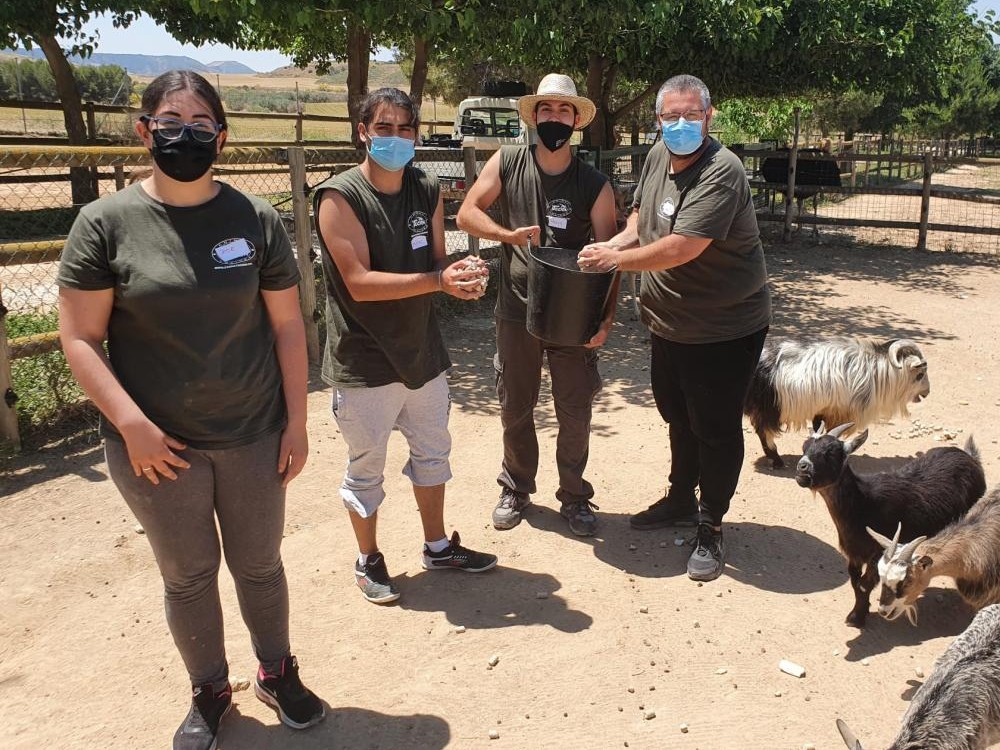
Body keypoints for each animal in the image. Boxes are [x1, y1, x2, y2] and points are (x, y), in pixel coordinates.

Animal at [745, 337, 930, 468]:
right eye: (920, 375)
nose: (927, 393)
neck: (873, 374)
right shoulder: (833, 411)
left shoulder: (825, 412)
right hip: (767, 407)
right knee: (763, 431)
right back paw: (776, 460)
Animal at [794, 422, 985, 627]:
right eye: (804, 447)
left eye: (830, 452)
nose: (802, 469)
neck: (864, 504)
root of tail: (970, 457)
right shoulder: (854, 554)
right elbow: (855, 583)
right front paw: (858, 613)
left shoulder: (879, 552)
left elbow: (865, 584)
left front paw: (858, 617)